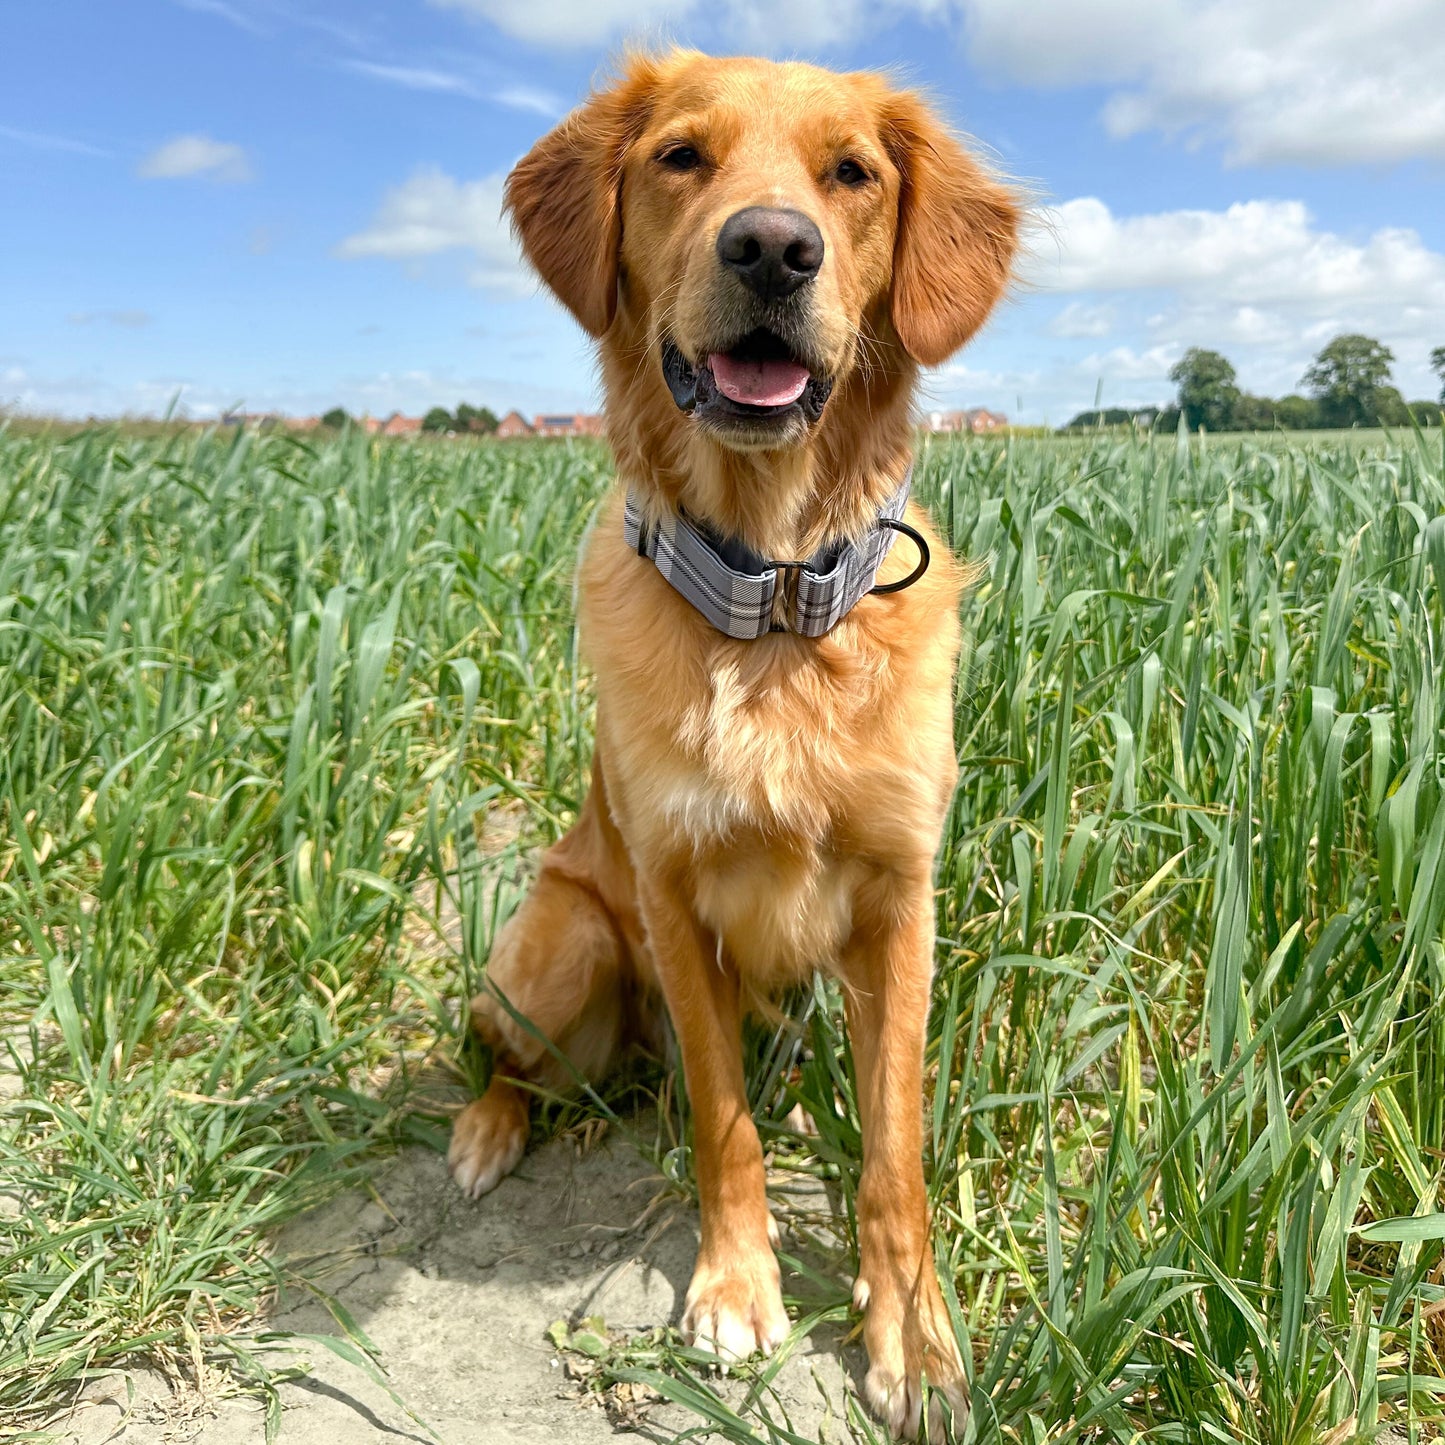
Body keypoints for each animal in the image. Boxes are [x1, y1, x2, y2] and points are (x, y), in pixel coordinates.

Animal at [447, 50, 1017, 1439]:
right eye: (679, 158)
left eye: (851, 172)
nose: (770, 248)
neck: (771, 599)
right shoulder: (670, 898)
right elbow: (723, 1119)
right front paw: (733, 1290)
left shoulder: (899, 907)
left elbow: (893, 1153)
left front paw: (910, 1333)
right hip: (555, 950)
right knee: (505, 1061)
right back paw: (485, 1134)